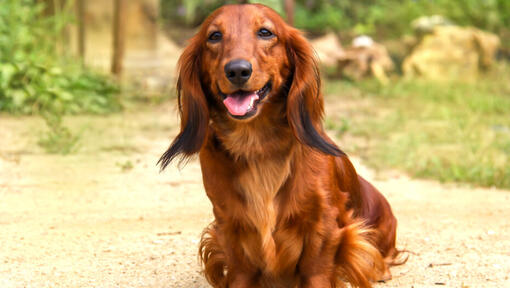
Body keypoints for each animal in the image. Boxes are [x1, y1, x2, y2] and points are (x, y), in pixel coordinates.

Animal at [160, 4, 402, 288]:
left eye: (265, 32)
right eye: (214, 36)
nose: (237, 70)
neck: (256, 145)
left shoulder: (323, 222)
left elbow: (316, 268)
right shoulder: (228, 223)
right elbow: (239, 268)